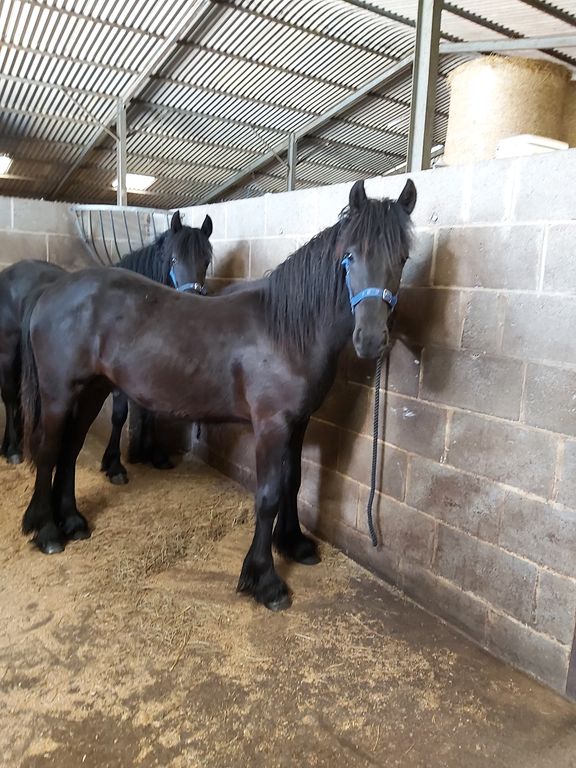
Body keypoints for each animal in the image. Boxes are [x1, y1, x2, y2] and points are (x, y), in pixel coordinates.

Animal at [18, 180, 414, 612]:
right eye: (349, 255)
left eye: (403, 257)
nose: (371, 339)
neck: (286, 330)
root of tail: (52, 290)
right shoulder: (271, 426)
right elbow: (268, 496)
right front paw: (264, 580)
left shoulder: (298, 423)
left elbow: (293, 482)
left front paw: (294, 545)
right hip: (59, 394)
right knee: (49, 450)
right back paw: (47, 531)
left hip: (92, 390)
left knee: (70, 450)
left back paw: (72, 521)